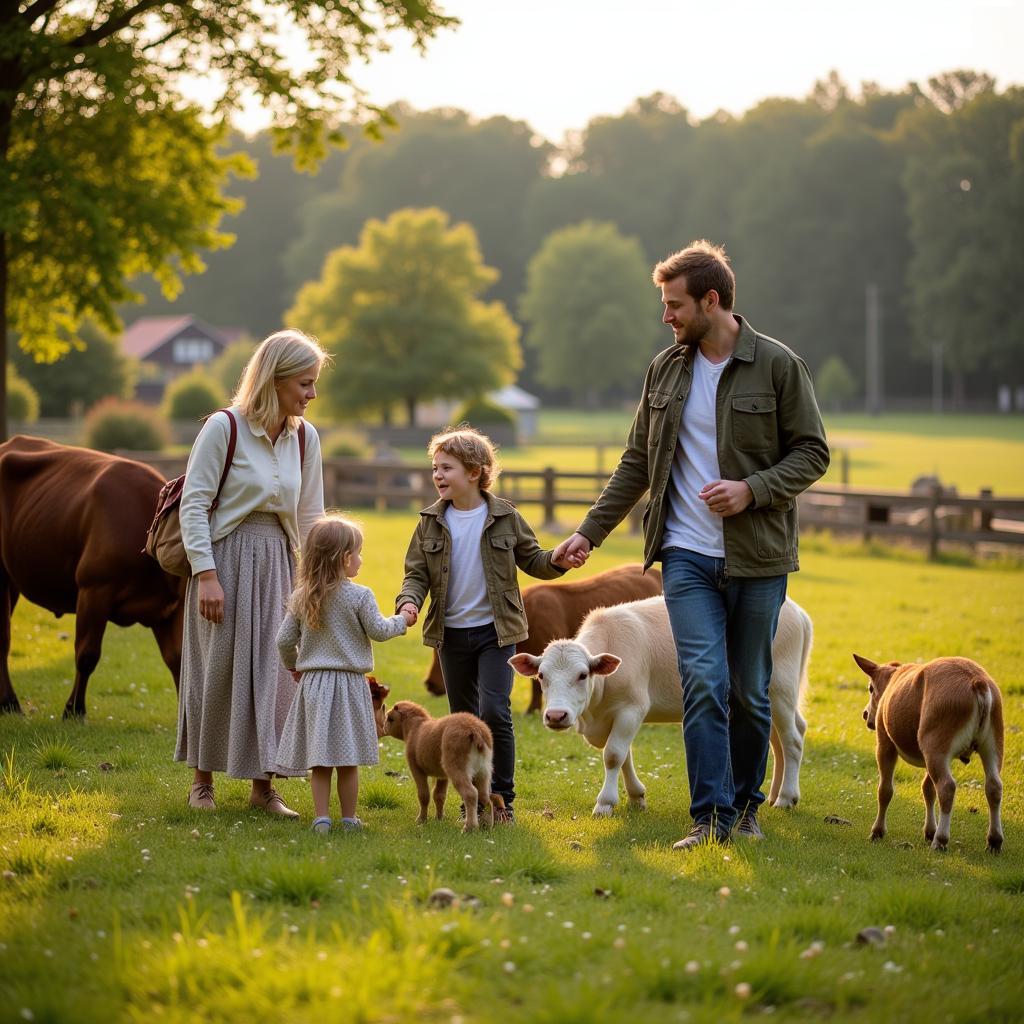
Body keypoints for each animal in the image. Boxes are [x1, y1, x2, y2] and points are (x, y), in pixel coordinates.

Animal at [1, 436, 184, 716]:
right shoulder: (94, 589)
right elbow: (86, 655)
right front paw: (74, 710)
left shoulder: (169, 607)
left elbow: (177, 660)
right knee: (3, 637)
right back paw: (10, 702)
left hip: (12, 579)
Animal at [385, 696, 495, 831]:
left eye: (390, 718)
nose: (384, 727)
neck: (414, 728)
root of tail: (475, 730)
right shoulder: (442, 775)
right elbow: (439, 795)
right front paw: (439, 819)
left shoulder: (416, 768)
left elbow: (424, 795)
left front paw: (421, 820)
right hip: (483, 770)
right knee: (486, 796)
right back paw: (487, 825)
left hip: (457, 766)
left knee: (471, 794)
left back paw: (469, 827)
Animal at [507, 593, 811, 815]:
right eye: (542, 676)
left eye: (582, 675)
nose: (556, 715)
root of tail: (796, 611)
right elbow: (623, 754)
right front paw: (635, 796)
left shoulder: (632, 708)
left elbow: (614, 754)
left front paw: (605, 802)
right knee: (778, 742)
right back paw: (774, 794)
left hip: (780, 691)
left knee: (792, 740)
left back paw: (786, 797)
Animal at [851, 651, 1003, 851]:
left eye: (870, 688)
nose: (865, 714)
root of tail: (978, 681)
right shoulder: (929, 755)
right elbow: (928, 788)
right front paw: (929, 831)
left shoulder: (885, 743)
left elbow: (885, 790)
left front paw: (877, 831)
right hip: (988, 742)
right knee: (994, 786)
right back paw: (994, 840)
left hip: (935, 742)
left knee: (946, 787)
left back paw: (941, 839)